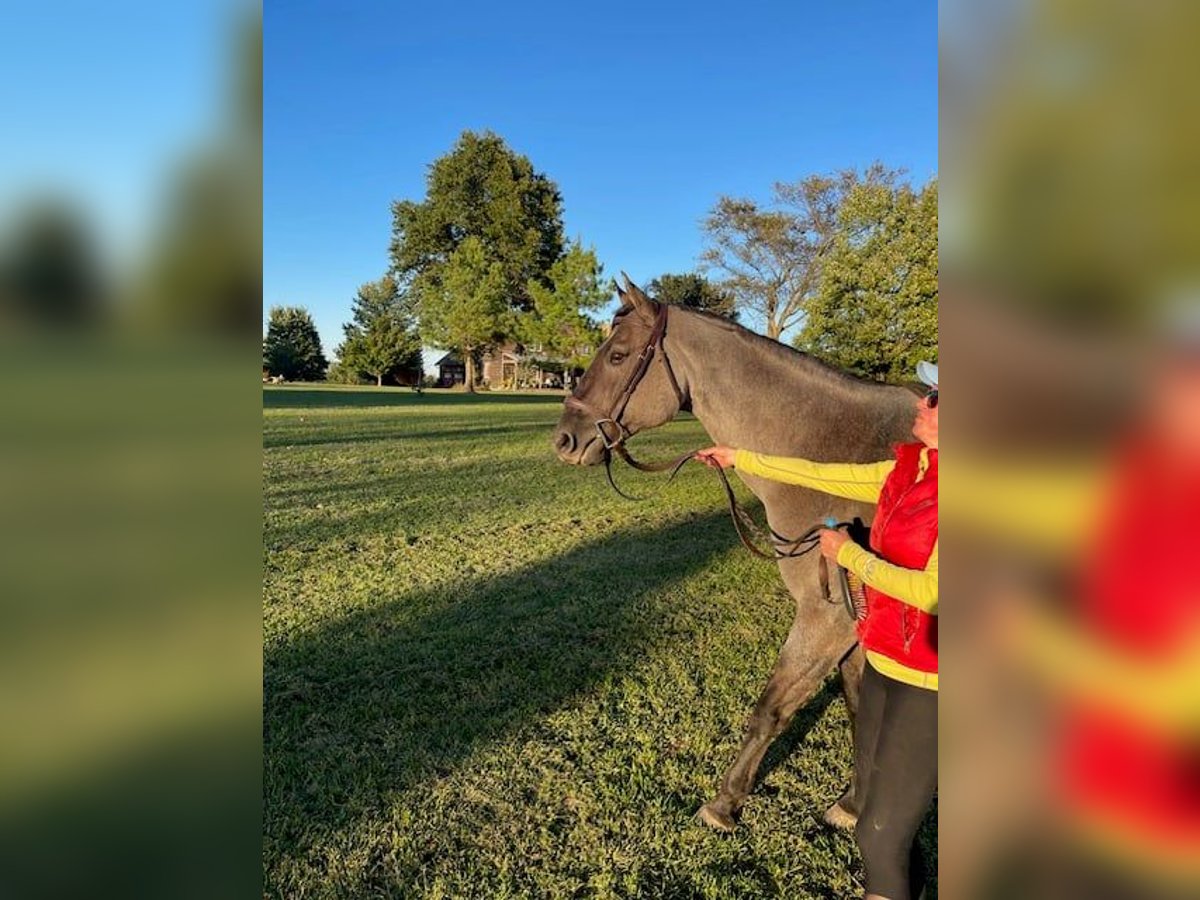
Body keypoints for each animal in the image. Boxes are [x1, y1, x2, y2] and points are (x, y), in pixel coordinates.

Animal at [552, 276, 918, 831]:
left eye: (617, 355)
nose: (564, 441)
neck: (832, 459)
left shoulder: (827, 618)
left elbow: (771, 709)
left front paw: (725, 803)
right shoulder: (854, 623)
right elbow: (859, 707)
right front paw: (854, 804)